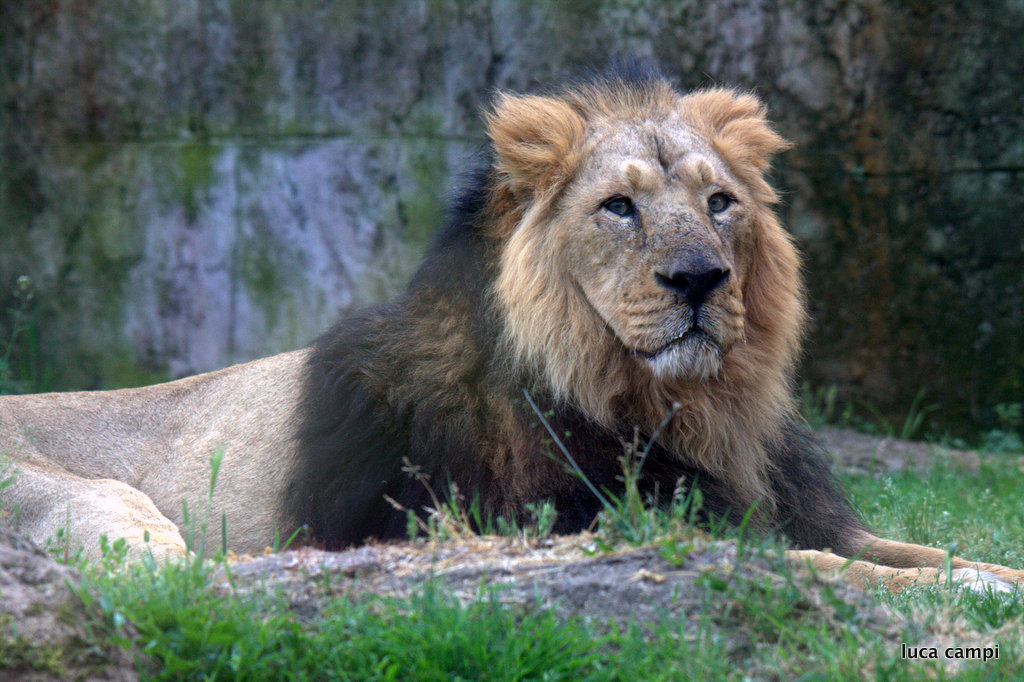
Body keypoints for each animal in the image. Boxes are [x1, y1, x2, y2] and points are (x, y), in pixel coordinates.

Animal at [1, 63, 1020, 593]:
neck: (692, 407)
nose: (700, 278)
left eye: (720, 202)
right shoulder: (597, 526)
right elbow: (836, 570)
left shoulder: (789, 505)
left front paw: (985, 579)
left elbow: (919, 551)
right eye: (619, 208)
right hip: (88, 500)